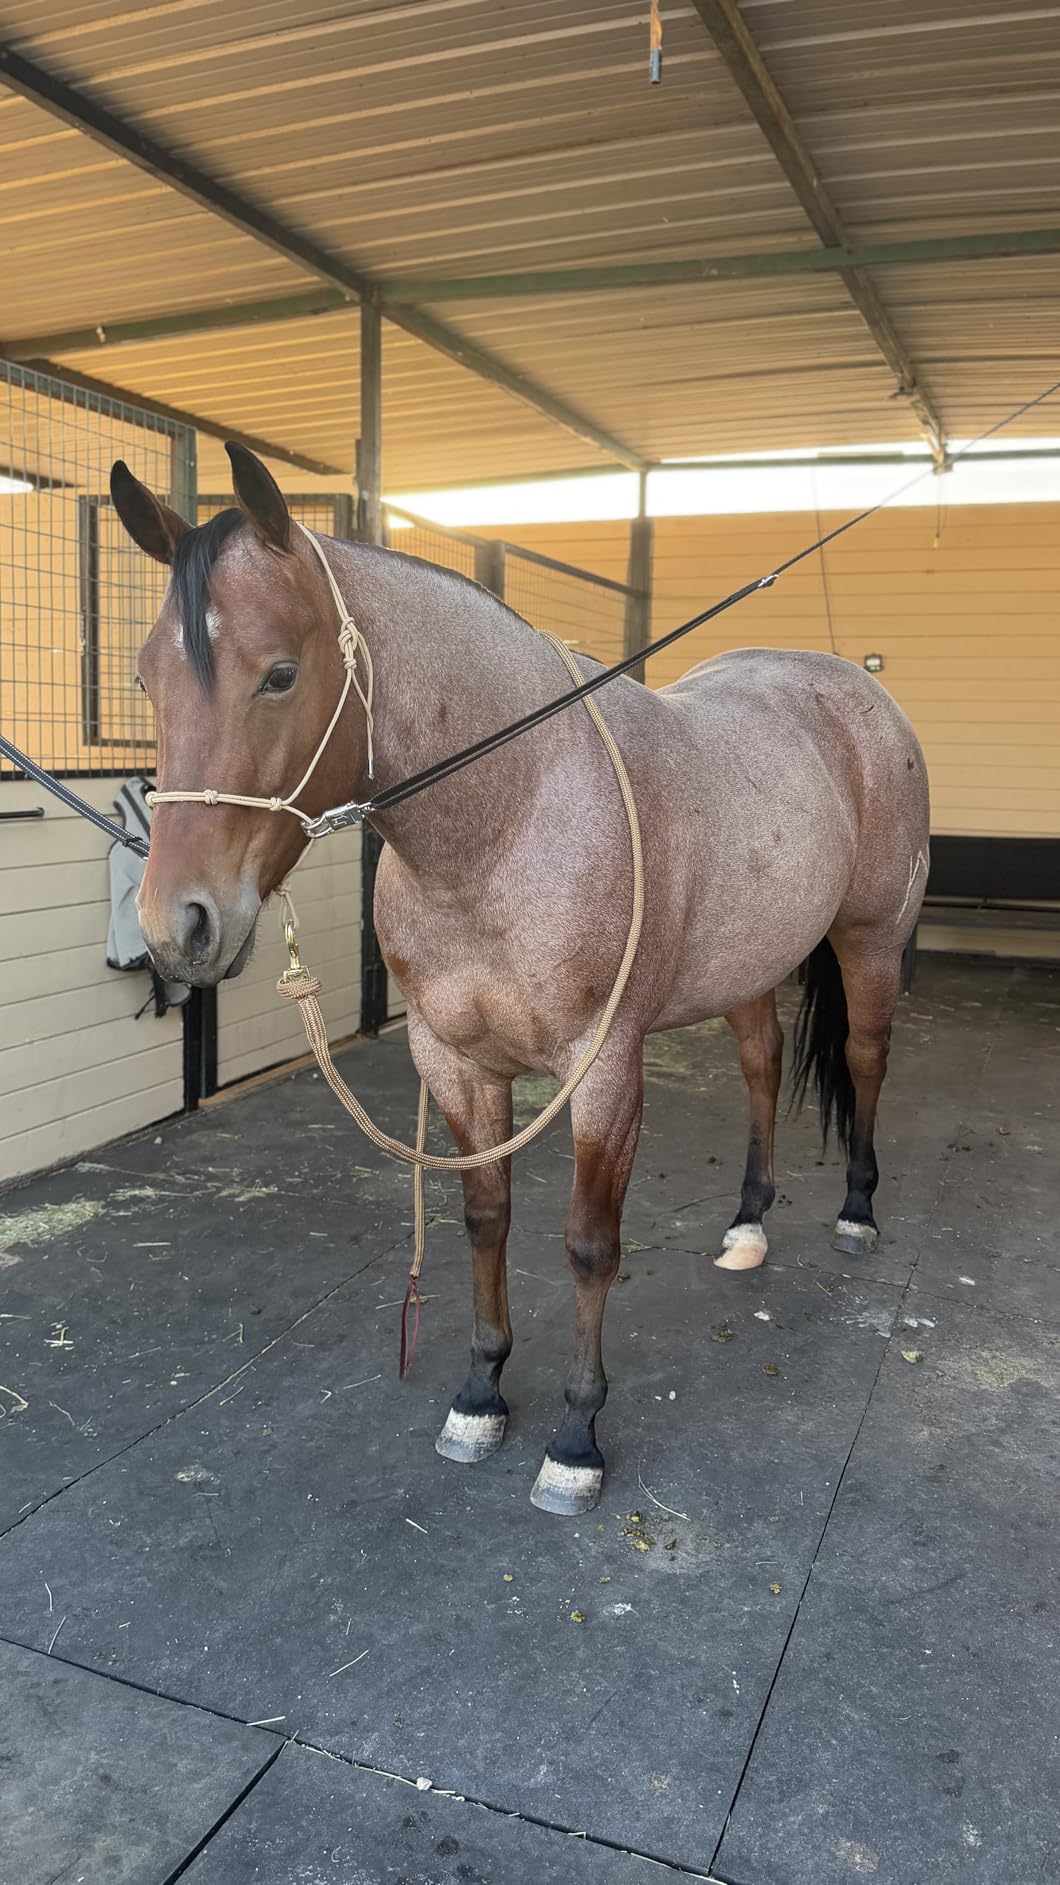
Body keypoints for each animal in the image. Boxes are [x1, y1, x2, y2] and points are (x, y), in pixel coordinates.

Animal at [110, 444, 930, 1517]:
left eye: (279, 674)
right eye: (145, 676)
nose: (179, 925)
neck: (513, 815)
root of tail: (856, 694)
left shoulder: (603, 1065)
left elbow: (588, 1242)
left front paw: (576, 1440)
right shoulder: (454, 1059)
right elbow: (484, 1216)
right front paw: (480, 1392)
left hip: (869, 942)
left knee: (867, 1063)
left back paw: (856, 1214)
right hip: (748, 968)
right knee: (762, 1066)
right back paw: (749, 1225)